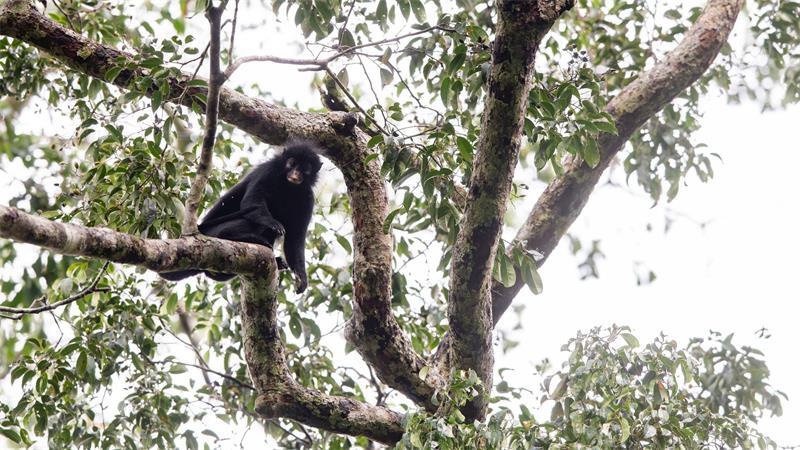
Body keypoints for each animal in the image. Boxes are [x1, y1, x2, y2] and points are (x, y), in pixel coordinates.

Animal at [160, 142, 322, 293]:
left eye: (305, 169)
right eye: (292, 163)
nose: (295, 174)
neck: (288, 186)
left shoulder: (308, 198)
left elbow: (295, 238)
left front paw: (301, 277)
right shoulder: (268, 170)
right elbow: (252, 202)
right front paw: (273, 223)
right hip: (214, 231)